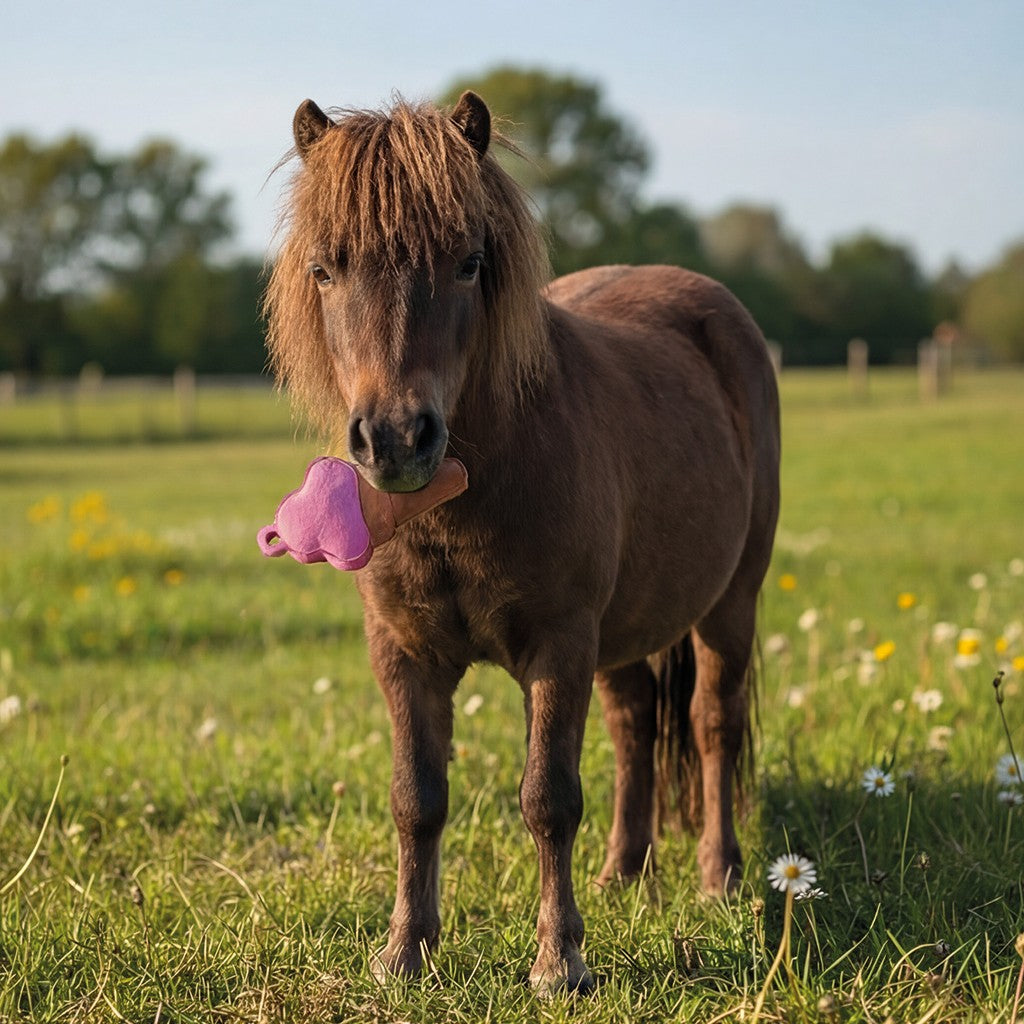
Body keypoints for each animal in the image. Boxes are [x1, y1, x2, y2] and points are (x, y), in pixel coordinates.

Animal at [265, 90, 780, 994]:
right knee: (635, 727)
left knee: (712, 724)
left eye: (469, 263)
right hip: (624, 635)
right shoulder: (403, 653)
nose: (396, 438)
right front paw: (405, 950)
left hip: (730, 605)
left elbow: (549, 799)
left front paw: (558, 961)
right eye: (325, 270)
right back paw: (622, 873)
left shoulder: (559, 645)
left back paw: (718, 877)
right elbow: (416, 799)